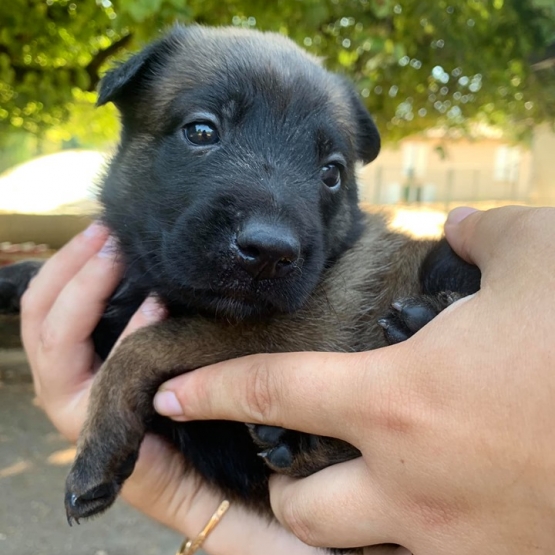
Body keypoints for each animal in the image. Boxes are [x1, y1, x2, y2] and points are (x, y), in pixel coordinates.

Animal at [0, 27, 480, 555]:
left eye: (332, 172)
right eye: (201, 131)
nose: (269, 251)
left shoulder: (273, 336)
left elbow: (139, 346)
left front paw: (96, 452)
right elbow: (51, 273)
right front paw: (12, 276)